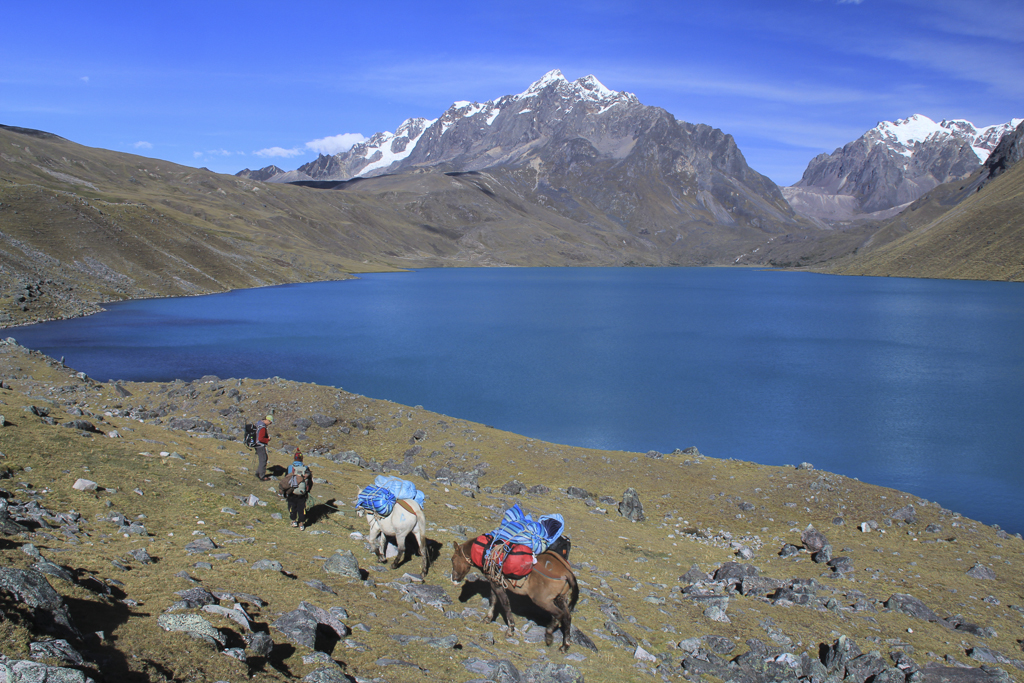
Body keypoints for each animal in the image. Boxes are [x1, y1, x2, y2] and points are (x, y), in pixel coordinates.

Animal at [448, 540, 577, 651]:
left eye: (453, 559)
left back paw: (549, 635)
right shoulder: (494, 583)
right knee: (567, 617)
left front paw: (510, 629)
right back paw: (565, 645)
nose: (454, 579)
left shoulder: (497, 585)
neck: (488, 552)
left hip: (542, 600)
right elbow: (493, 600)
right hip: (561, 599)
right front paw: (487, 619)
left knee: (559, 614)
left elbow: (505, 604)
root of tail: (567, 572)